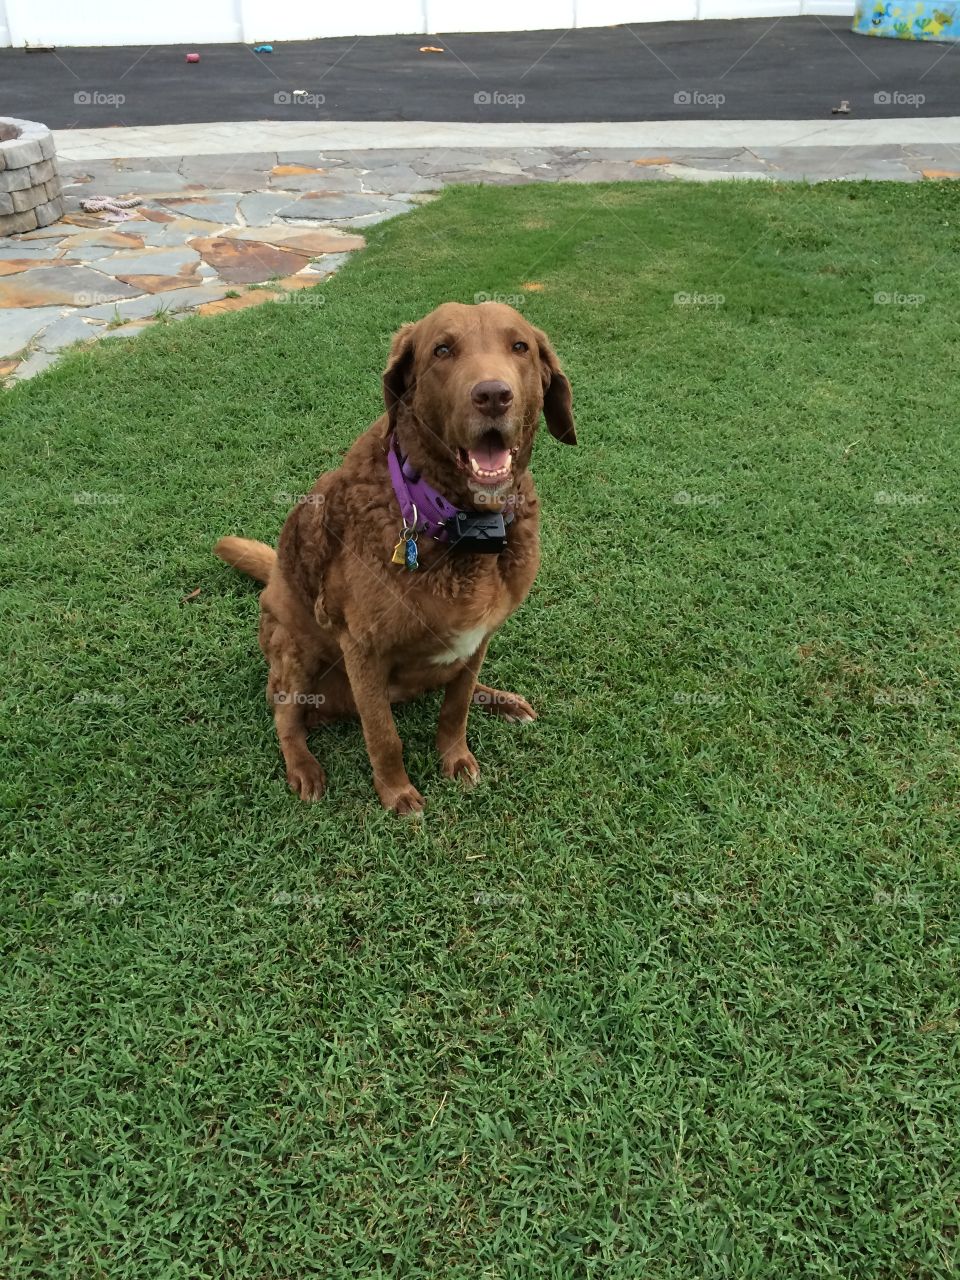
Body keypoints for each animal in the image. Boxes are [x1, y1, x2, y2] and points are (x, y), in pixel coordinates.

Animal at [216, 302, 578, 808]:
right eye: (442, 350)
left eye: (520, 346)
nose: (493, 395)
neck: (459, 527)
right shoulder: (364, 650)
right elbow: (383, 735)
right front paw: (396, 792)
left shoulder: (480, 636)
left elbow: (455, 707)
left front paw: (455, 757)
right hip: (295, 649)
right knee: (287, 719)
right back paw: (303, 768)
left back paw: (499, 698)